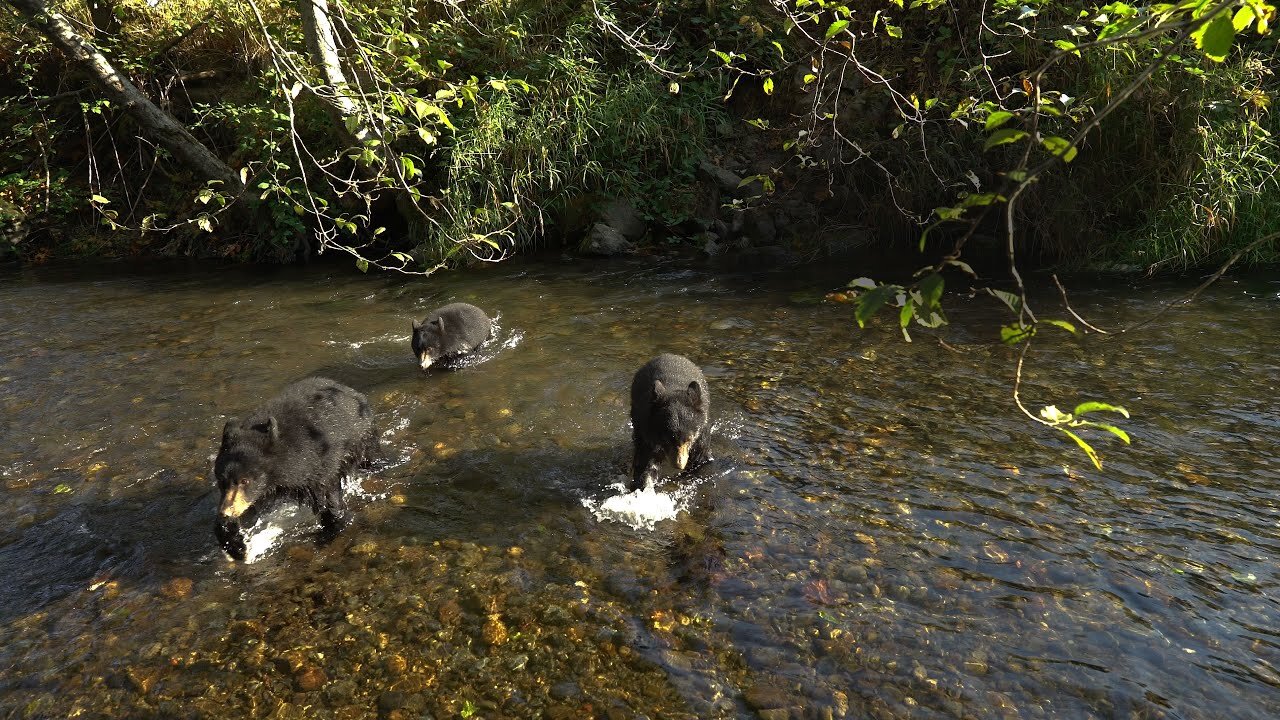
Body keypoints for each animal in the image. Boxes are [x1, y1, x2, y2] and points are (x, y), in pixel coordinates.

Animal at [212, 376, 373, 561]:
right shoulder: (261, 492)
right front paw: (235, 545)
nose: (225, 512)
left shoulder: (319, 464)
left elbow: (329, 498)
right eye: (221, 480)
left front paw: (329, 531)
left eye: (245, 480)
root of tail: (349, 390)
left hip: (362, 439)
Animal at [627, 351, 711, 486]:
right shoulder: (648, 432)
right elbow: (647, 461)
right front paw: (644, 482)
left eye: (689, 439)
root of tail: (668, 354)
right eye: (668, 439)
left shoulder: (700, 434)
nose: (679, 465)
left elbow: (701, 459)